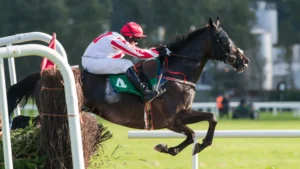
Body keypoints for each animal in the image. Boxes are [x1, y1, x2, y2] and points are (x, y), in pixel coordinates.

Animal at [7, 17, 251, 156]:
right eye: (224, 39)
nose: (244, 60)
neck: (174, 72)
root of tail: (42, 75)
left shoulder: (178, 117)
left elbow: (210, 120)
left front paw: (178, 148)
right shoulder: (173, 120)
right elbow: (198, 129)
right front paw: (177, 147)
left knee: (21, 121)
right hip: (56, 111)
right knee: (24, 122)